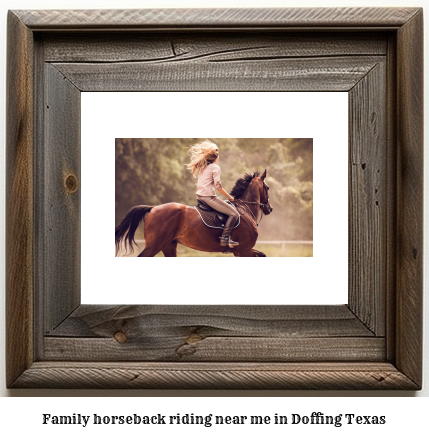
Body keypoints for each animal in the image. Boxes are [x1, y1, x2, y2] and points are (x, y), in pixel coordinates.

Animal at [115, 169, 272, 258]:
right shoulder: (244, 249)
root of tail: (153, 208)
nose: (269, 209)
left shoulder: (240, 251)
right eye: (268, 188)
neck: (245, 209)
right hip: (155, 246)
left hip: (169, 246)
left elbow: (263, 255)